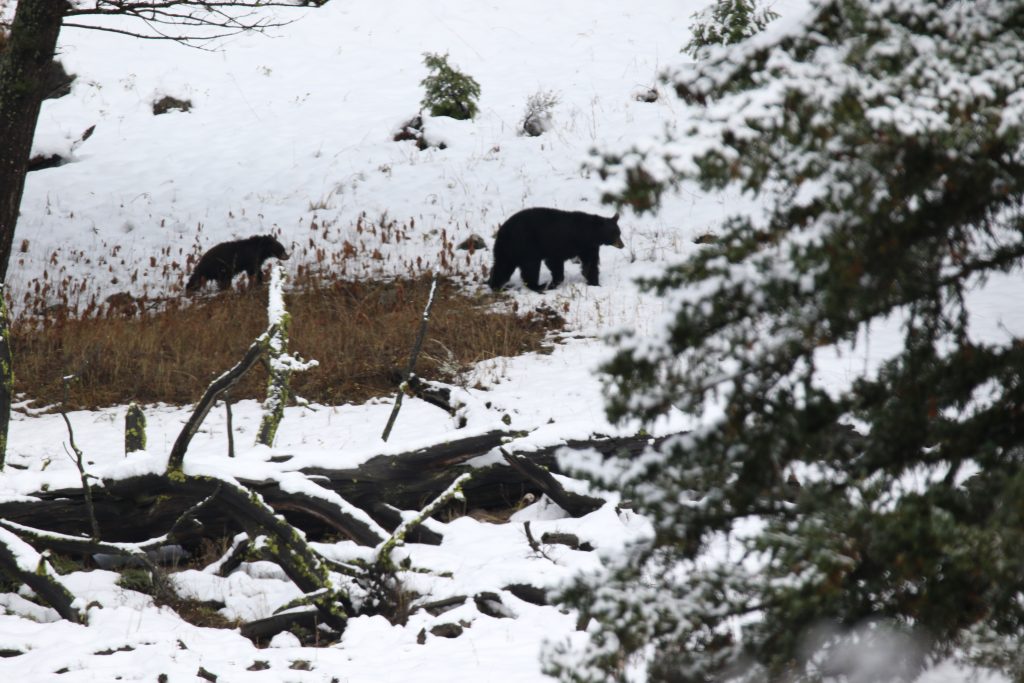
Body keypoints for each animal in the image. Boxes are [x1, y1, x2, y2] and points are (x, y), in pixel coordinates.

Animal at [487, 208, 622, 294]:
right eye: (615, 234)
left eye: (619, 233)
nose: (622, 245)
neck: (589, 233)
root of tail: (502, 231)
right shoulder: (560, 243)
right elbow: (555, 262)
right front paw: (553, 283)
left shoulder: (588, 247)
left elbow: (590, 264)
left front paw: (595, 283)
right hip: (525, 245)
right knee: (530, 267)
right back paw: (539, 286)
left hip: (507, 249)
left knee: (502, 266)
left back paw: (496, 286)